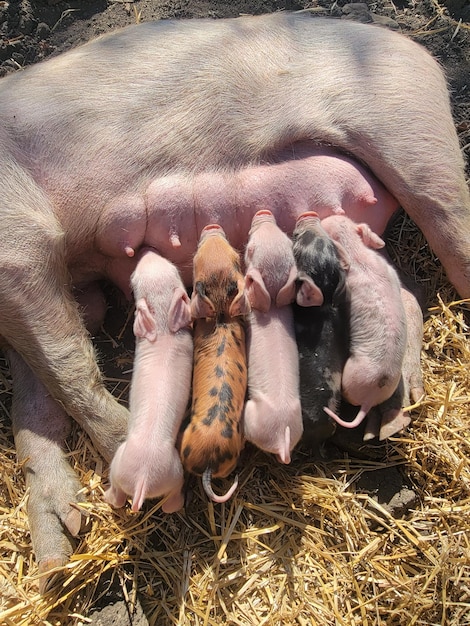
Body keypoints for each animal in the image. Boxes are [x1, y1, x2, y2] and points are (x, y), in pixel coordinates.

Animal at [0, 12, 470, 584]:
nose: (50, 565)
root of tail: (414, 48)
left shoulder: (19, 240)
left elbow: (66, 366)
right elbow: (33, 400)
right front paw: (55, 559)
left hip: (415, 137)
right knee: (406, 289)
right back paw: (390, 418)